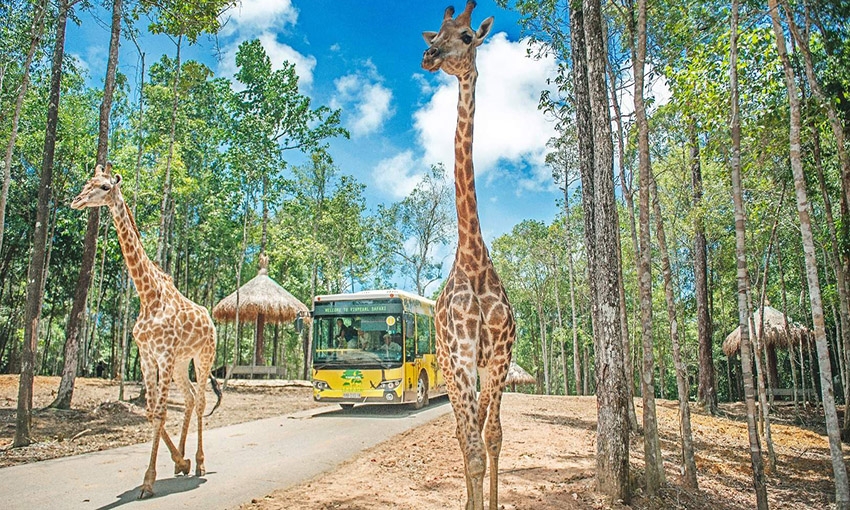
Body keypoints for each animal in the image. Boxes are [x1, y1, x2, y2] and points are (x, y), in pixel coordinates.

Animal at [71, 163, 222, 498]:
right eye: (88, 182)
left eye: (104, 187)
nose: (76, 201)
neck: (147, 295)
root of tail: (210, 319)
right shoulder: (147, 356)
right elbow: (153, 412)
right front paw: (178, 462)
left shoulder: (163, 355)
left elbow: (161, 412)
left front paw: (149, 481)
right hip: (181, 362)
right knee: (189, 399)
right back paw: (185, 460)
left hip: (202, 356)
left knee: (201, 401)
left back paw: (201, 463)